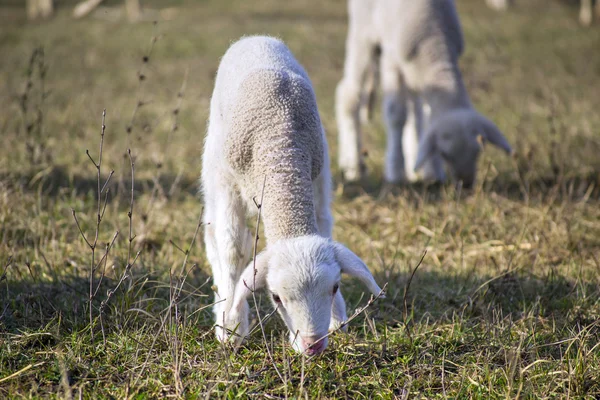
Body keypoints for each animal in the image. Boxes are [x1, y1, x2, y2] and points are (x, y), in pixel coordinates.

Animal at [202, 36, 380, 356]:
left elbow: (324, 224)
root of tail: (255, 38)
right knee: (216, 235)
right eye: (275, 297)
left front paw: (337, 319)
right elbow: (232, 247)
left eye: (335, 286)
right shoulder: (228, 183)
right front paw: (231, 327)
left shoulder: (318, 175)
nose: (313, 345)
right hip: (213, 162)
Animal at [332, 0, 510, 188]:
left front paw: (432, 172)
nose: (466, 184)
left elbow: (426, 119)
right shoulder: (393, 62)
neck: (434, 43)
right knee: (348, 94)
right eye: (444, 153)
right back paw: (353, 167)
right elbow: (396, 116)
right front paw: (395, 172)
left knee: (414, 111)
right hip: (364, 33)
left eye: (478, 152)